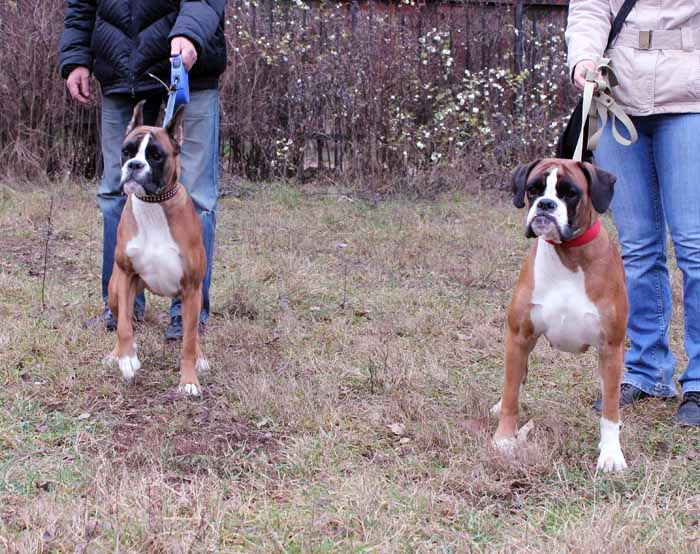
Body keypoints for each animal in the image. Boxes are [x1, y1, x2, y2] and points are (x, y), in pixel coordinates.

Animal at [104, 100, 208, 395]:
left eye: (156, 155)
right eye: (126, 151)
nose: (134, 165)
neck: (153, 204)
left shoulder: (191, 289)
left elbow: (188, 340)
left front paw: (188, 380)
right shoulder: (126, 277)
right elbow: (124, 328)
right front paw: (127, 359)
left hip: (192, 299)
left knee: (192, 332)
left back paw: (200, 357)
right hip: (114, 291)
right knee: (122, 319)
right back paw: (117, 354)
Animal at [492, 158, 628, 472]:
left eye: (570, 192)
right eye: (533, 189)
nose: (545, 204)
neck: (568, 255)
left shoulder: (611, 347)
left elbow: (610, 407)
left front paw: (611, 454)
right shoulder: (519, 336)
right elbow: (512, 393)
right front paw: (504, 439)